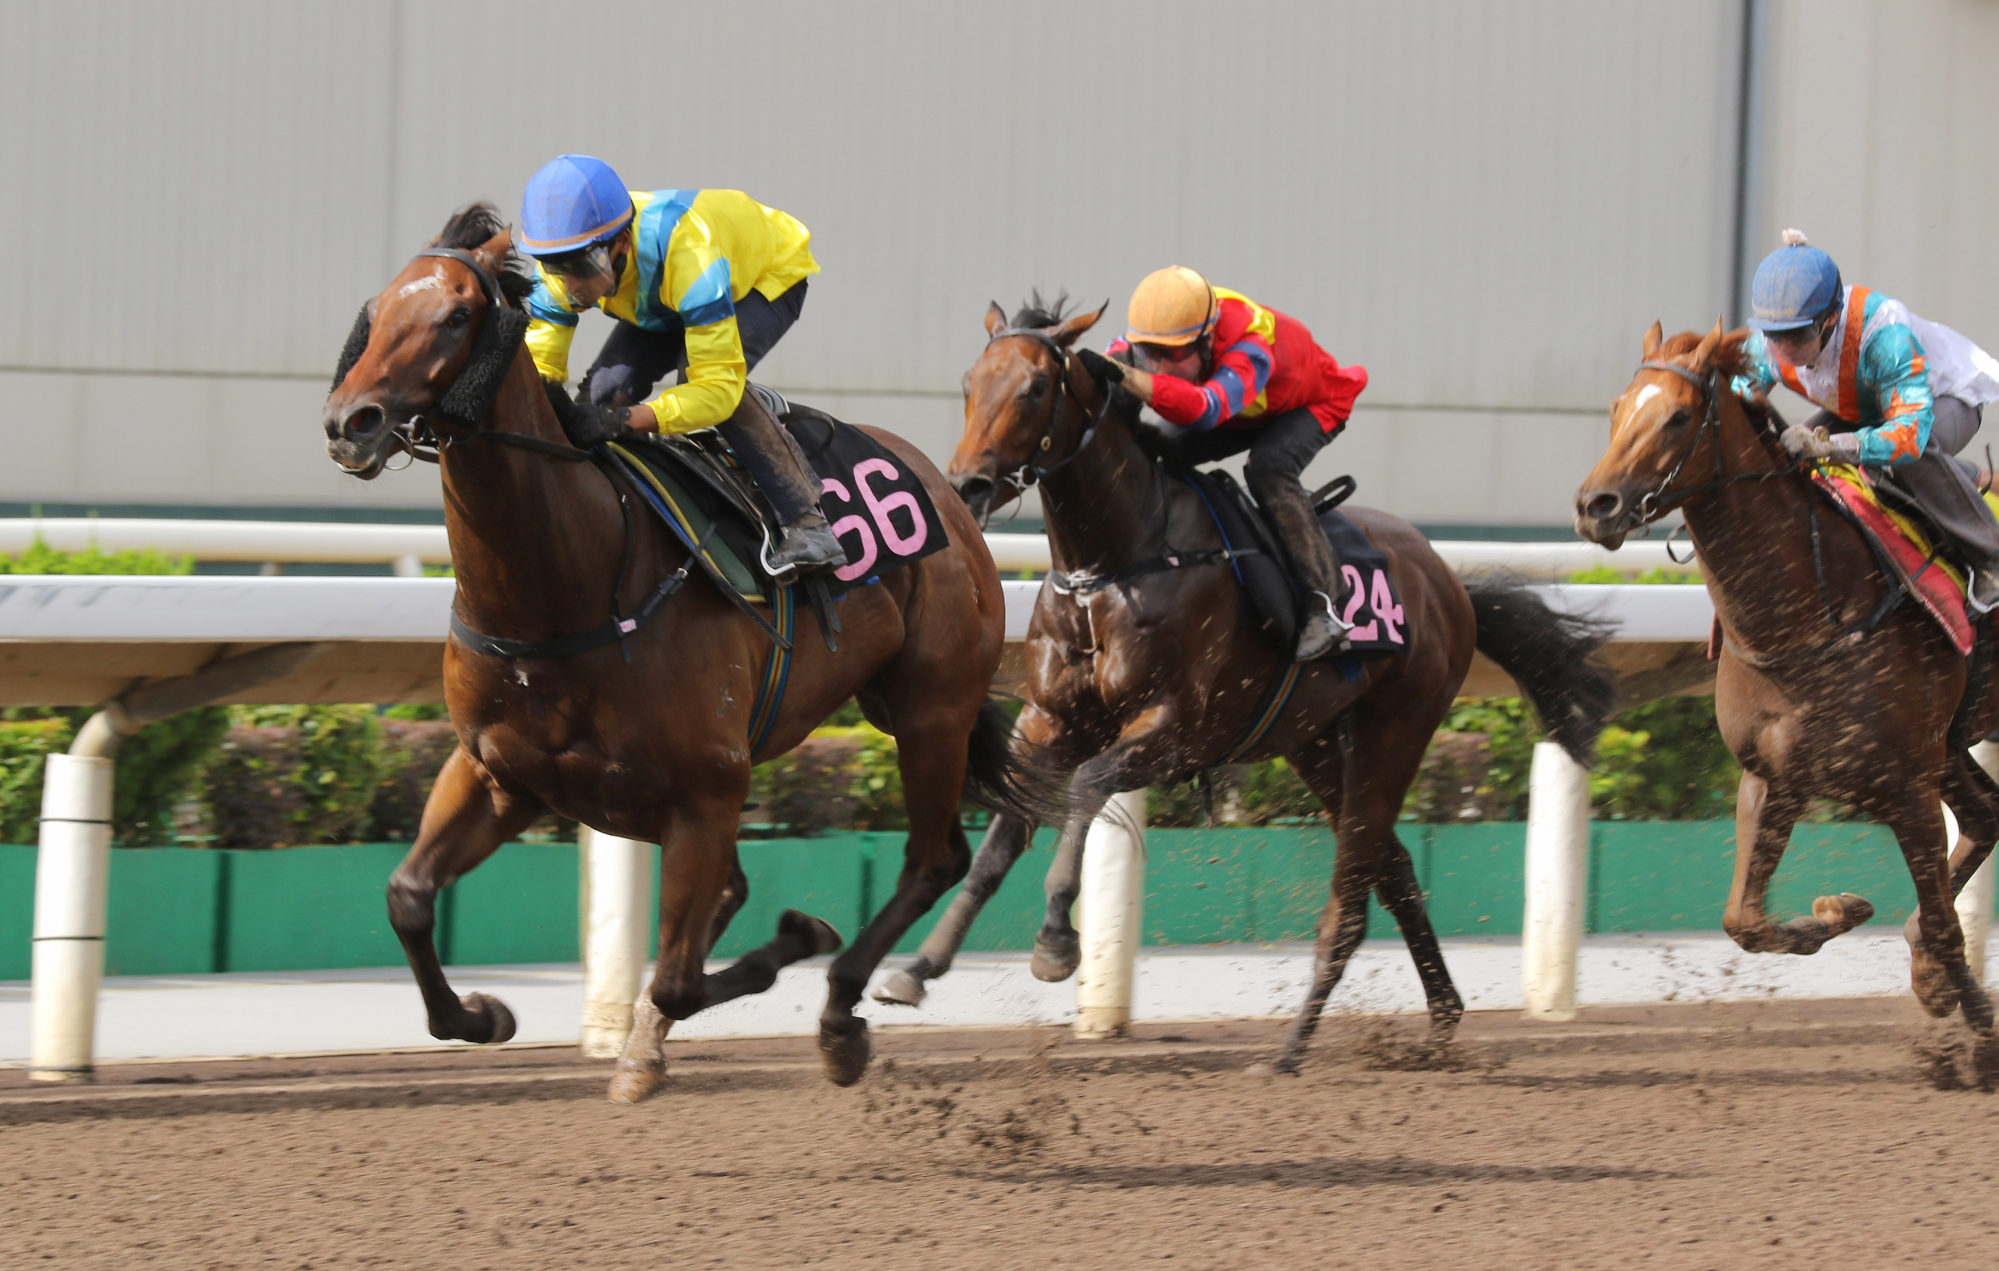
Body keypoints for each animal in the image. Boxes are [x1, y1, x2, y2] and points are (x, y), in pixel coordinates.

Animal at [321, 203, 1071, 1095]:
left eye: (456, 314)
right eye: (375, 310)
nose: (350, 423)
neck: (566, 583)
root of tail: (947, 493)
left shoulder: (705, 793)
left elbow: (681, 974)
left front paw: (793, 942)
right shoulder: (498, 773)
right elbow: (407, 896)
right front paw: (484, 1013)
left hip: (931, 709)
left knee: (932, 858)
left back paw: (841, 1011)